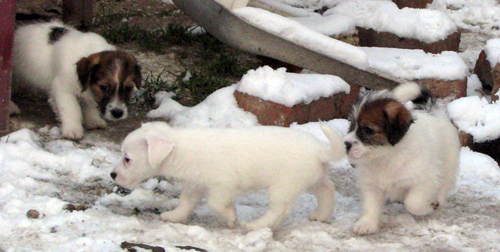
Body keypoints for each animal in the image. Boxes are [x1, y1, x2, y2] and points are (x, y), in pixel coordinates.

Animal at [11, 20, 141, 140]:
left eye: (129, 88)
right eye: (104, 87)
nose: (118, 113)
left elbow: (89, 103)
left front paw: (93, 119)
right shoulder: (64, 89)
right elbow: (72, 109)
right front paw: (73, 129)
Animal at [110, 121, 346, 230]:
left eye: (127, 159)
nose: (112, 175)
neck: (181, 148)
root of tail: (320, 149)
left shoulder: (223, 186)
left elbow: (215, 203)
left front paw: (231, 216)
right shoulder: (195, 185)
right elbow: (186, 202)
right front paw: (175, 216)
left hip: (283, 186)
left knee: (279, 210)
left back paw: (256, 226)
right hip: (312, 179)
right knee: (328, 189)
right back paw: (322, 215)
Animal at [344, 82, 460, 234]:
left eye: (368, 130)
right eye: (351, 124)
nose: (345, 144)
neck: (386, 157)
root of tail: (431, 109)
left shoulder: (425, 180)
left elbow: (413, 203)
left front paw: (426, 208)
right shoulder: (371, 184)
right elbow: (370, 205)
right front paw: (367, 223)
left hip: (448, 163)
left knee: (444, 183)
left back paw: (436, 200)